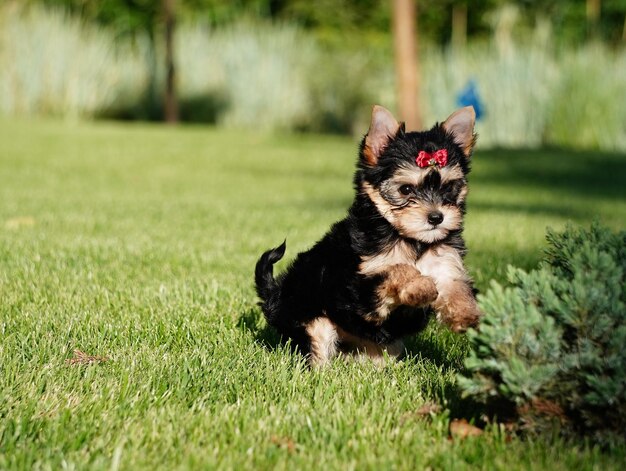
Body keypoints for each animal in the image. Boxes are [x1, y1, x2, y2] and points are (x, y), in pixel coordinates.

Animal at [254, 105, 478, 366]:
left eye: (449, 187)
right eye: (406, 189)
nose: (436, 217)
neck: (411, 240)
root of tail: (275, 293)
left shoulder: (445, 264)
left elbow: (455, 285)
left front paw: (467, 314)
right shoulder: (361, 284)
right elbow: (398, 269)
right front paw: (422, 286)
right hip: (309, 318)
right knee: (316, 345)